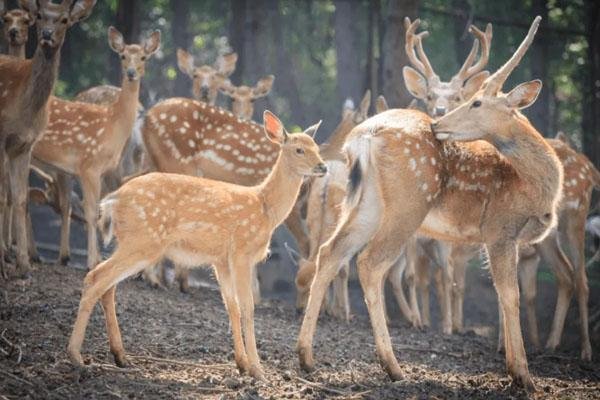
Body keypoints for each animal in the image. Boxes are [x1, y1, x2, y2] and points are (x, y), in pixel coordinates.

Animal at [0, 0, 95, 278]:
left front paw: (23, 266)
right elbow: (3, 196)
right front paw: (6, 263)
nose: (47, 34)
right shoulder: (2, 137)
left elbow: (20, 199)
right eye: (40, 15)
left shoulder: (24, 145)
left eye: (64, 19)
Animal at [31, 26, 161, 270]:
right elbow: (92, 212)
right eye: (122, 56)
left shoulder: (99, 170)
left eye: (143, 57)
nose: (131, 72)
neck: (112, 125)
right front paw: (93, 261)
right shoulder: (88, 165)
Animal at [67, 111, 326, 380]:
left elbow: (231, 307)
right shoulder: (241, 253)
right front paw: (257, 370)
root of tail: (111, 201)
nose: (323, 166)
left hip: (132, 241)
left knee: (108, 285)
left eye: (316, 147)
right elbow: (248, 308)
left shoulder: (221, 260)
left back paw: (120, 356)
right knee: (96, 277)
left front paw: (242, 364)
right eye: (298, 149)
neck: (265, 208)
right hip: (144, 239)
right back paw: (77, 357)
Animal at [298, 16, 556, 390]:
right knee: (370, 263)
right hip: (408, 204)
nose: (439, 122)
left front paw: (511, 366)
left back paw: (306, 356)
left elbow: (501, 293)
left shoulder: (511, 239)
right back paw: (393, 366)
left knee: (330, 252)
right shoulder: (500, 228)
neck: (536, 186)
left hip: (366, 203)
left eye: (474, 102)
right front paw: (523, 375)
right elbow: (510, 295)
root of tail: (362, 137)